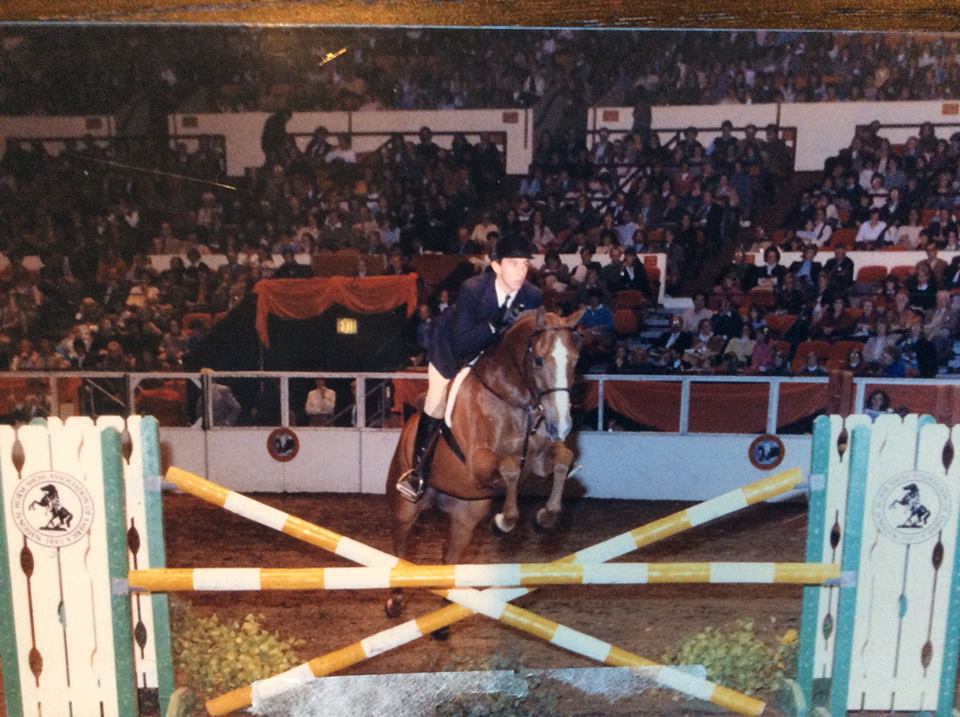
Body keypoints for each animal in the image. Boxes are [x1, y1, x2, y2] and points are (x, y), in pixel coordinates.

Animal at [384, 304, 584, 620]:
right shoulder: (478, 465)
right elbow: (510, 469)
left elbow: (563, 460)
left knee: (450, 556)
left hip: (467, 515)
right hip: (406, 506)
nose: (561, 427)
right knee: (400, 547)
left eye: (575, 361)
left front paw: (544, 519)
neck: (513, 400)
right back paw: (394, 601)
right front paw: (503, 522)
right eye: (539, 361)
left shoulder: (538, 462)